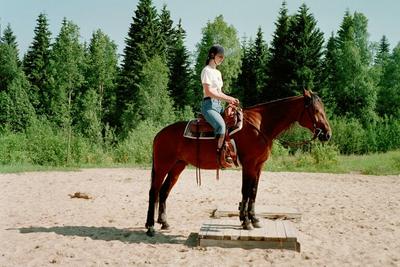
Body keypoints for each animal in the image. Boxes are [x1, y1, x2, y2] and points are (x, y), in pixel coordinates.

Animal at [145, 89, 330, 237]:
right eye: (315, 110)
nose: (327, 134)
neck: (260, 126)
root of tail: (159, 134)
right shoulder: (249, 165)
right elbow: (246, 191)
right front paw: (246, 222)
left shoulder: (258, 166)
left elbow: (253, 191)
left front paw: (253, 219)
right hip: (162, 166)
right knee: (153, 192)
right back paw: (150, 227)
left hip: (177, 166)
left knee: (164, 192)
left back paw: (164, 223)